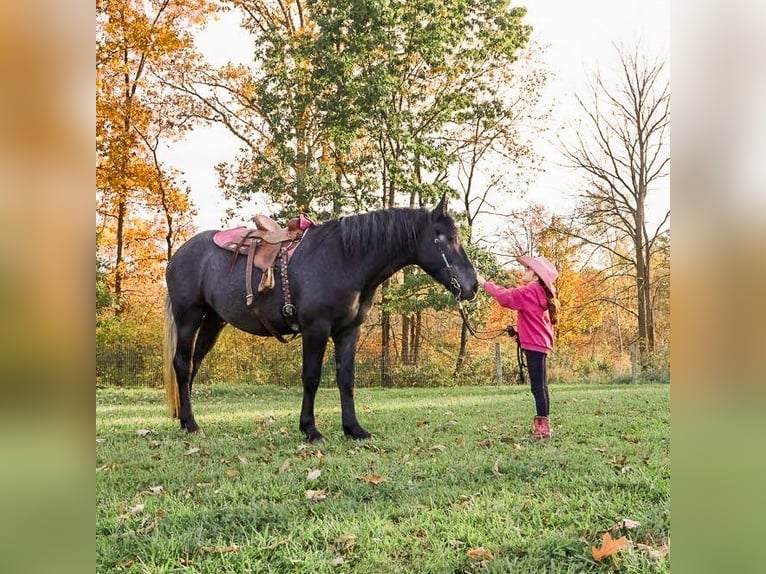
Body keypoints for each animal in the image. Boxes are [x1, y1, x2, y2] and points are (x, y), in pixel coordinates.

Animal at [163, 195, 478, 441]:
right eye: (445, 238)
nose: (473, 286)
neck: (343, 259)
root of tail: (179, 254)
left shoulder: (348, 331)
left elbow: (346, 379)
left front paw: (354, 429)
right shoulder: (316, 329)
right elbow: (311, 377)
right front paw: (310, 430)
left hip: (213, 321)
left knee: (193, 365)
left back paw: (185, 421)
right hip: (189, 318)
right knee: (182, 364)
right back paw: (192, 424)